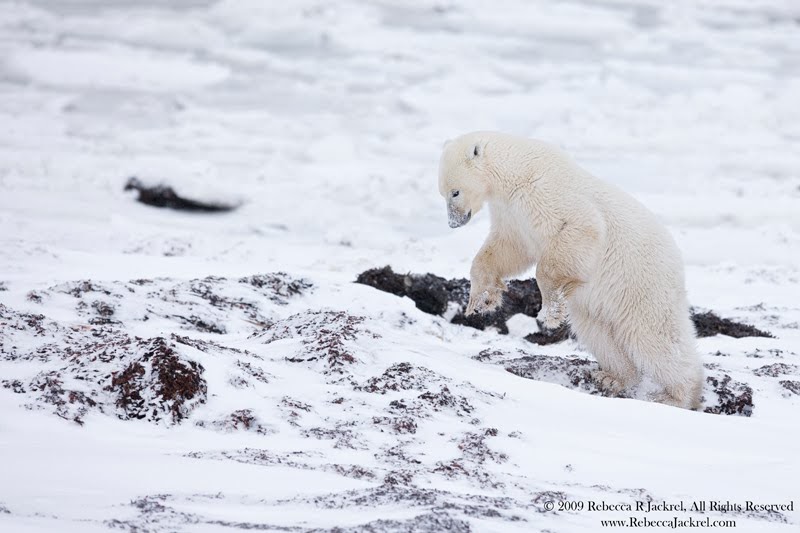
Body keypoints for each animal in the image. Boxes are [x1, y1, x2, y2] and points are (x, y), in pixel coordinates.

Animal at [438, 131, 703, 409]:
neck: (516, 170)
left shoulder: (547, 193)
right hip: (600, 306)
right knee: (599, 334)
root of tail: (677, 262)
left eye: (455, 192)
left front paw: (550, 313)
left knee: (654, 338)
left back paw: (676, 396)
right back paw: (612, 377)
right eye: (443, 193)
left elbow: (579, 228)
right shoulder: (511, 214)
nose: (454, 223)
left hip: (642, 285)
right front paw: (481, 300)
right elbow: (505, 249)